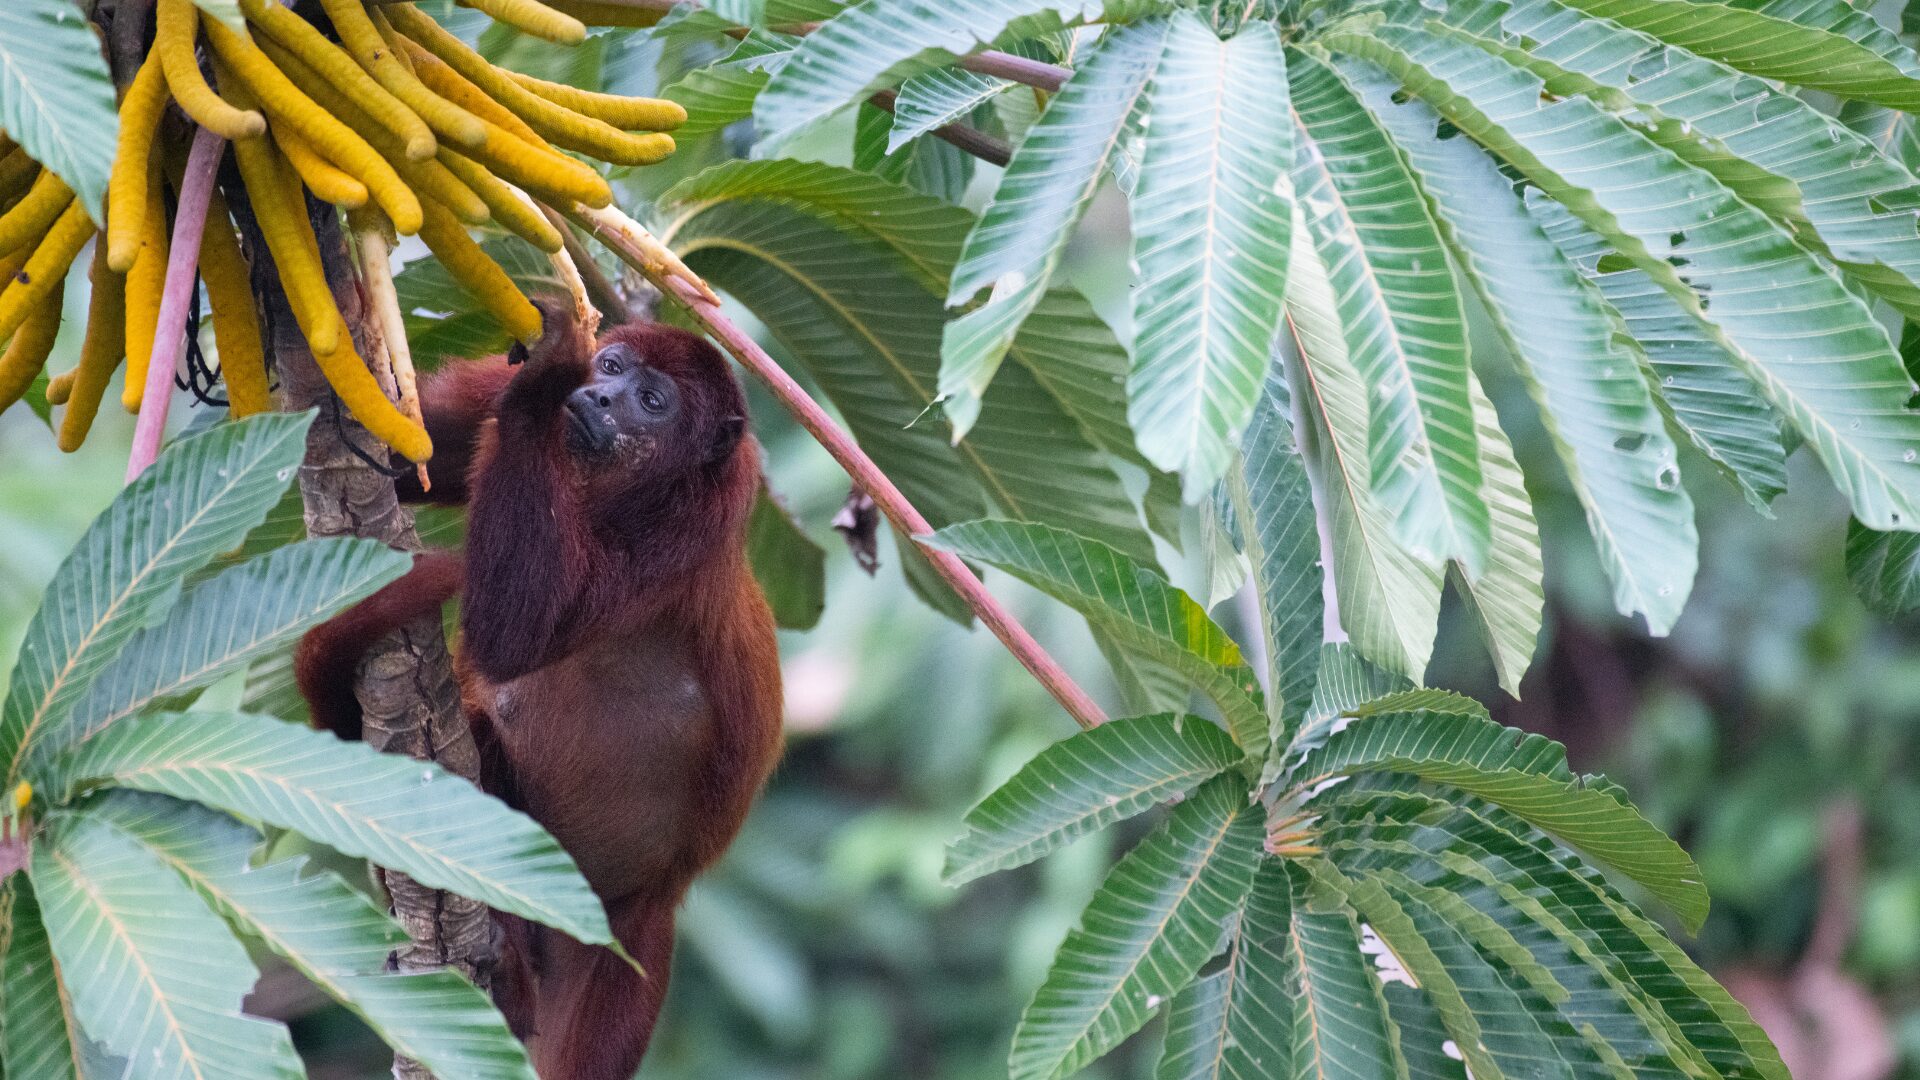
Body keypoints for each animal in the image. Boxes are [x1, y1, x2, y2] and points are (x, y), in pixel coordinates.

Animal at [296, 305, 784, 1079]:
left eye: (654, 402)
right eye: (611, 367)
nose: (602, 395)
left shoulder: (694, 519)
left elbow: (515, 632)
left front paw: (543, 382)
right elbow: (411, 459)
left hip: (628, 957)